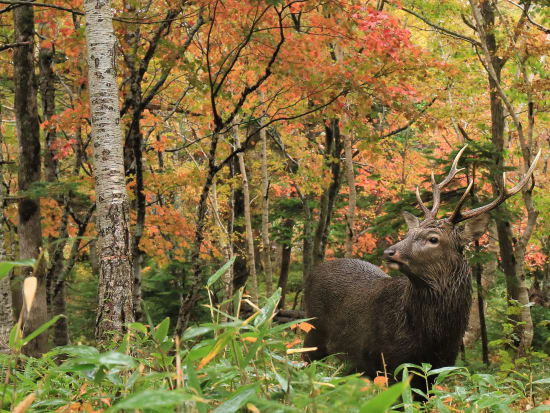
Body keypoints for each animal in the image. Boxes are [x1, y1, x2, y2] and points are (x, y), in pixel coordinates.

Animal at [306, 147, 544, 390]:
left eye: (433, 239)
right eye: (409, 233)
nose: (390, 252)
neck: (432, 337)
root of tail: (313, 272)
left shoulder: (439, 366)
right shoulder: (387, 363)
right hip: (313, 333)